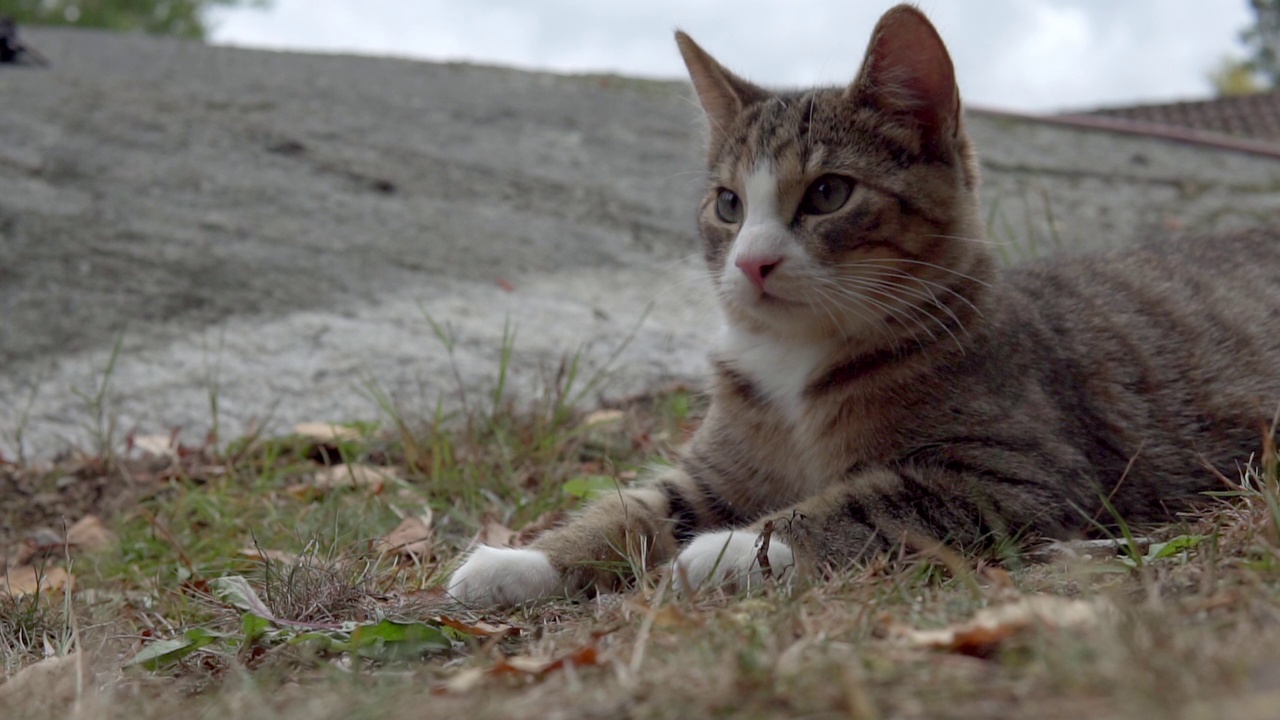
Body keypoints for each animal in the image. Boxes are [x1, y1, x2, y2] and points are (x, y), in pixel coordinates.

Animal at [445, 4, 1280, 604]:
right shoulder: (714, 475)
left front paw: (737, 548)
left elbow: (868, 501)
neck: (795, 359)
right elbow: (635, 506)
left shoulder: (1011, 476)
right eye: (728, 204)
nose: (751, 261)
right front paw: (525, 559)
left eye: (828, 194)